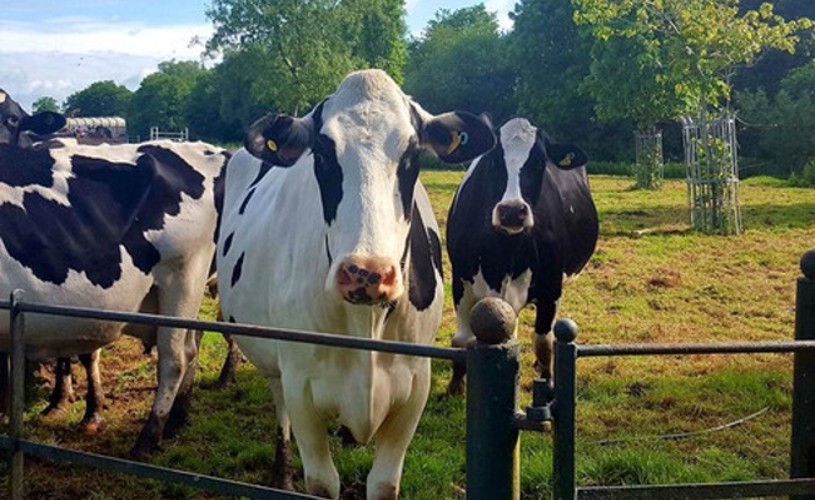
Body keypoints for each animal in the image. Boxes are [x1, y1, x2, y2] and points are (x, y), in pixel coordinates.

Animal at [217, 68, 494, 498]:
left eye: (412, 155)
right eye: (323, 153)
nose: (367, 271)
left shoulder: (415, 387)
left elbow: (383, 484)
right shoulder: (302, 386)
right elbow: (322, 482)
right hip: (276, 362)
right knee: (279, 402)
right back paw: (282, 470)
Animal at [446, 116, 600, 394]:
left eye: (539, 162)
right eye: (493, 159)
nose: (511, 211)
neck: (506, 251)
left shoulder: (551, 286)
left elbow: (543, 341)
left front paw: (547, 383)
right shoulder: (460, 279)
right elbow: (461, 338)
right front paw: (455, 385)